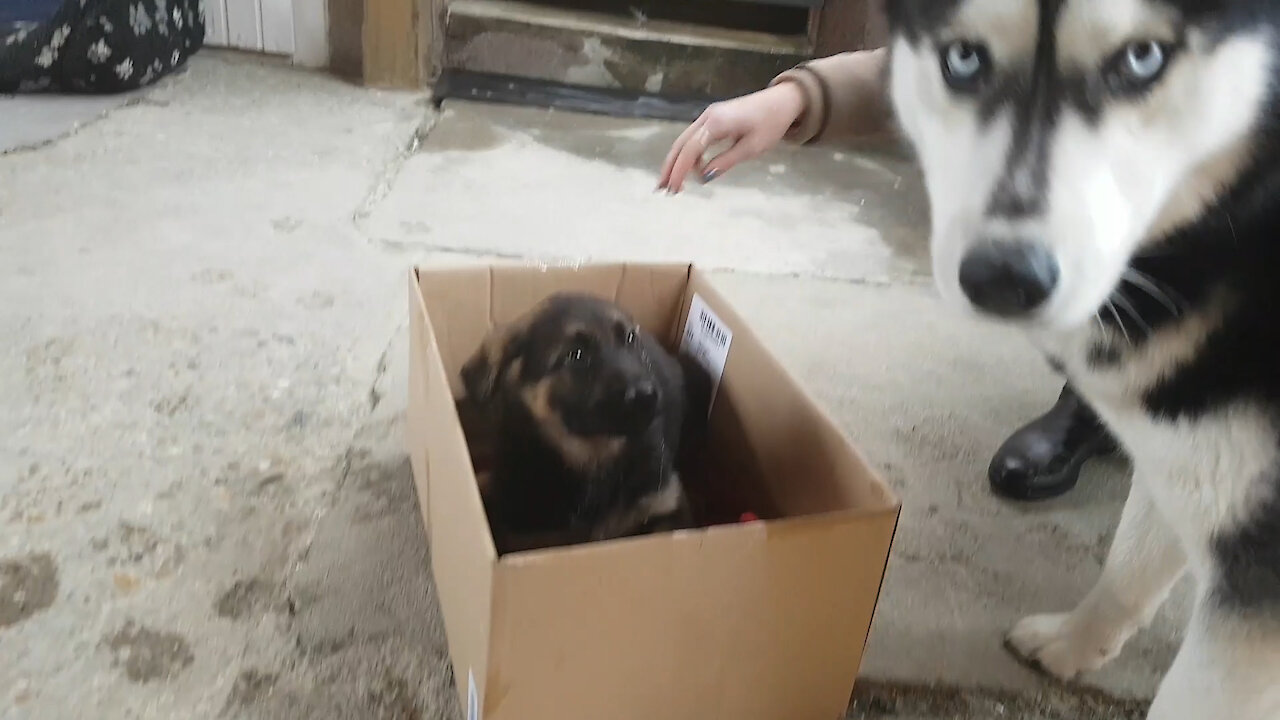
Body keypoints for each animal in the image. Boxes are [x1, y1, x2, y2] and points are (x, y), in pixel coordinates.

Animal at [885, 0, 1280, 712]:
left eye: (1142, 58)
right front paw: (1074, 643)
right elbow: (1130, 564)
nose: (1003, 278)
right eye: (962, 57)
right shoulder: (1189, 453)